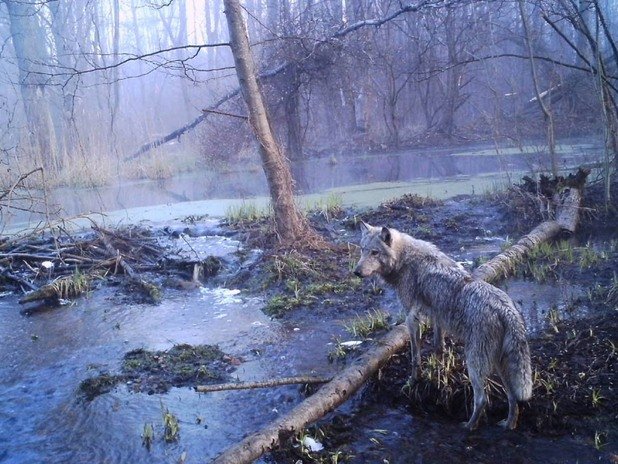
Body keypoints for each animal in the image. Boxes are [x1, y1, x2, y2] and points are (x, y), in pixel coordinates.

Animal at [354, 222, 532, 432]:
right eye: (362, 250)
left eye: (374, 253)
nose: (356, 272)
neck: (404, 259)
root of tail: (506, 309)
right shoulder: (437, 317)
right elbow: (438, 347)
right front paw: (438, 372)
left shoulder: (411, 318)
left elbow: (415, 357)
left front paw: (413, 381)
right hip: (499, 364)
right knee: (513, 398)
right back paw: (508, 425)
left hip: (475, 364)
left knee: (482, 399)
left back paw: (468, 427)